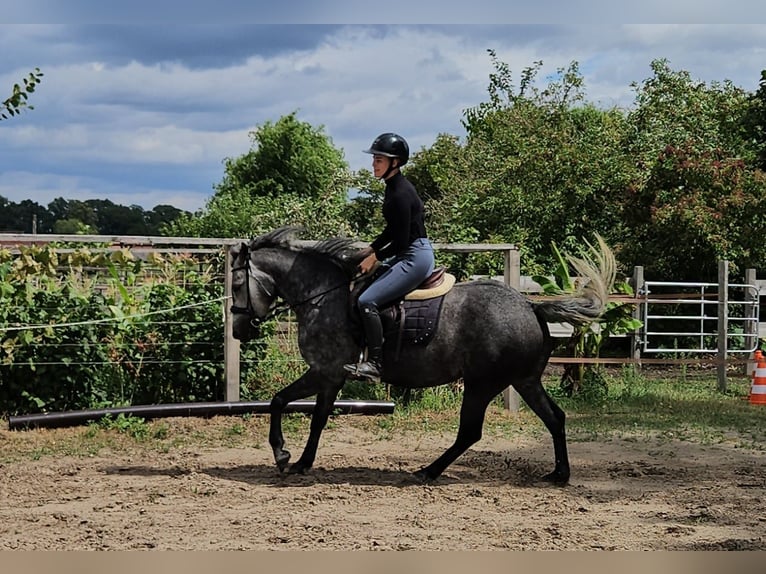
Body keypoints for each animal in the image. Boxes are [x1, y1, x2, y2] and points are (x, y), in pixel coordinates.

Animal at [229, 226, 616, 485]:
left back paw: (428, 471)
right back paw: (559, 474)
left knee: (470, 432)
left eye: (236, 284)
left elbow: (286, 405)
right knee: (555, 418)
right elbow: (310, 414)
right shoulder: (330, 377)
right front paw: (300, 462)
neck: (324, 295)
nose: (238, 331)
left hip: (482, 384)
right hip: (524, 380)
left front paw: (283, 455)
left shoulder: (326, 371)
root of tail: (530, 306)